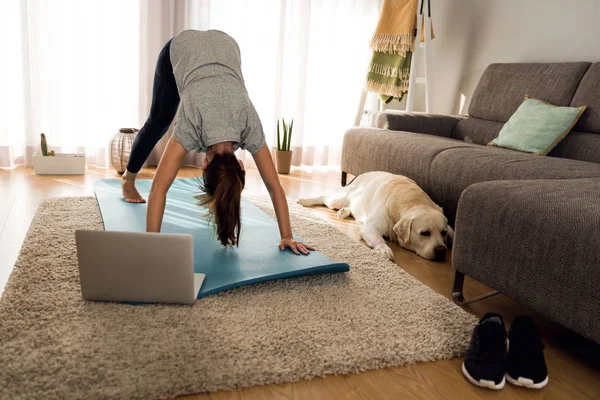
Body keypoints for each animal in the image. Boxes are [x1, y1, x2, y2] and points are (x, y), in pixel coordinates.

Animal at [298, 170, 452, 260]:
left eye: (443, 233)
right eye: (424, 233)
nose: (441, 250)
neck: (413, 201)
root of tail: (361, 174)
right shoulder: (370, 227)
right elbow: (379, 239)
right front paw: (384, 249)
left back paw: (344, 211)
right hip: (337, 199)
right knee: (324, 198)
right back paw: (304, 200)